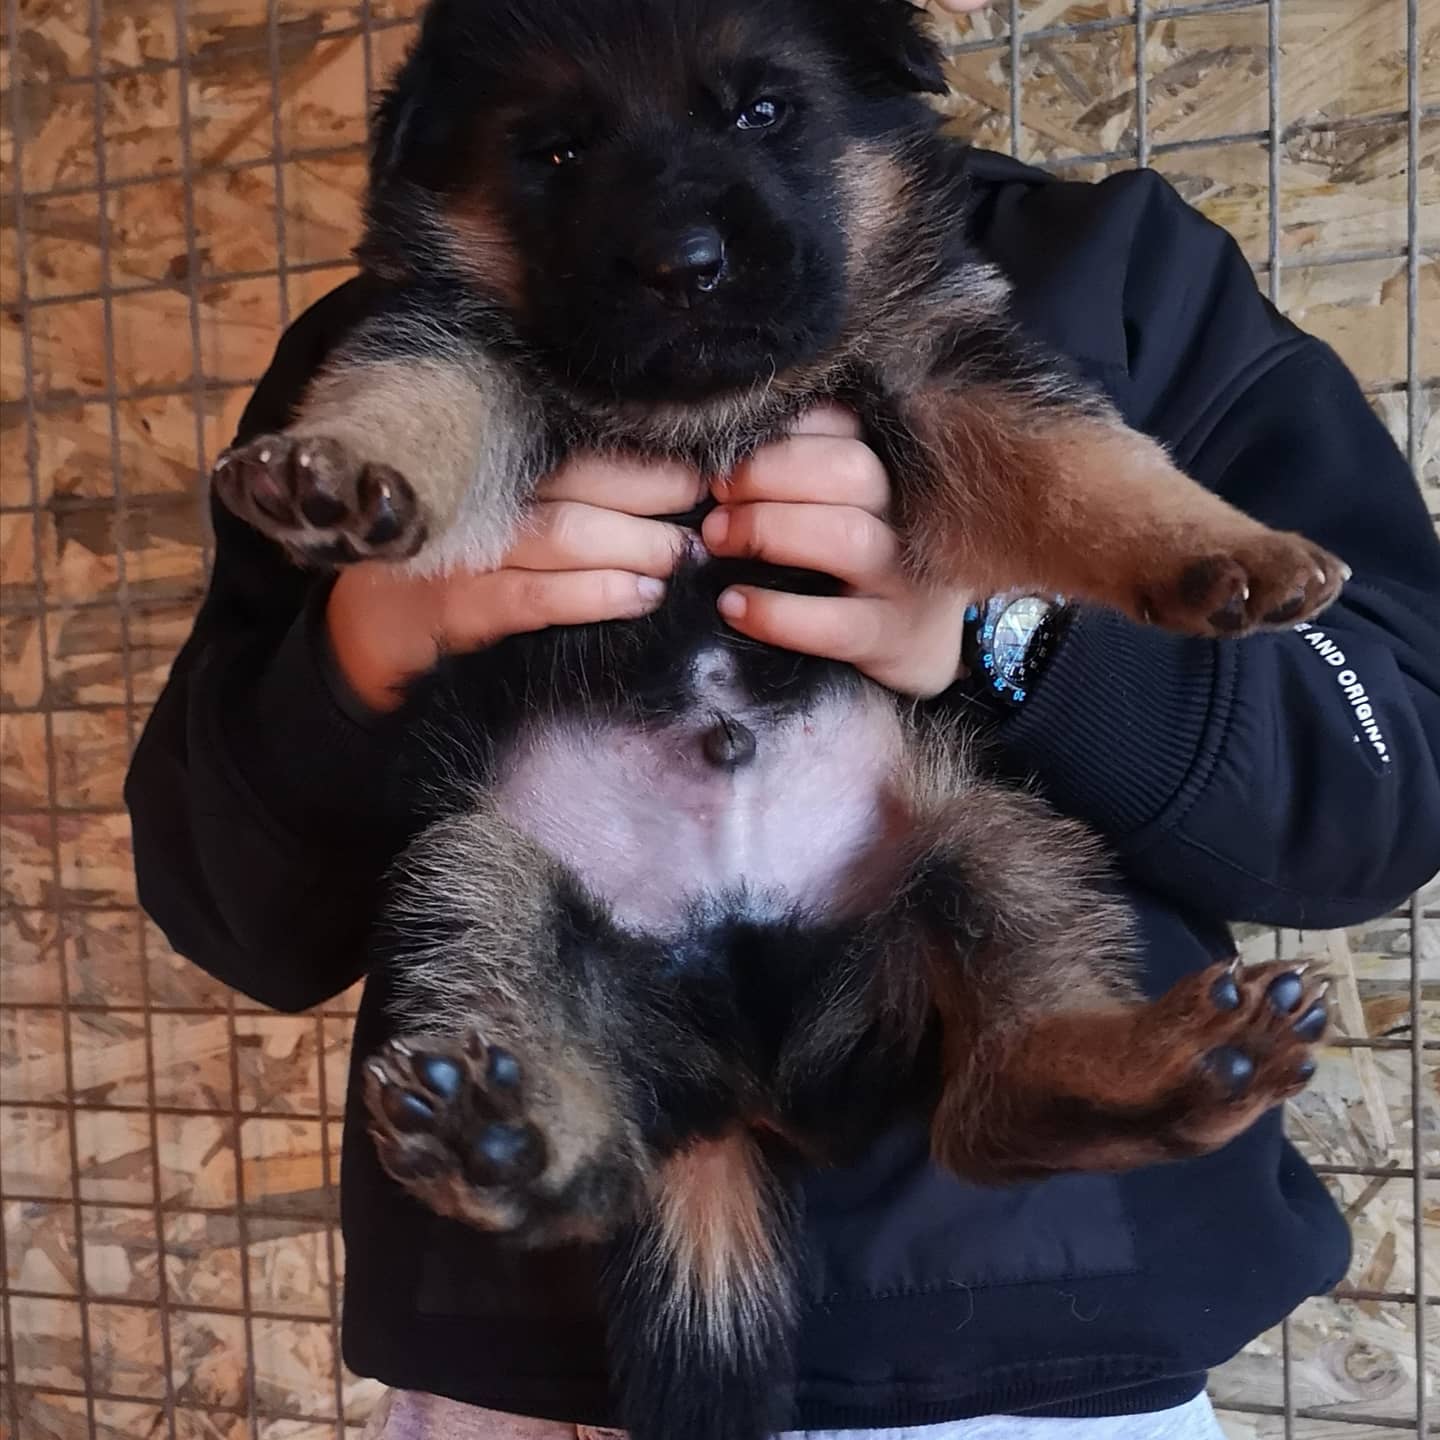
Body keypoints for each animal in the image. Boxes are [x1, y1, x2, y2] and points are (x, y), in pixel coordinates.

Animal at [213, 2, 1336, 1440]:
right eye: (555, 150)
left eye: (762, 113)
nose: (684, 266)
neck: (701, 409)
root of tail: (740, 1087)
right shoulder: (456, 338)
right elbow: (417, 400)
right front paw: (341, 471)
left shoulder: (948, 370)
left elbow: (1091, 468)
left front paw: (1224, 548)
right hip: (482, 876)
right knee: (588, 1145)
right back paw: (504, 1145)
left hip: (978, 835)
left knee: (994, 1086)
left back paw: (1144, 1074)